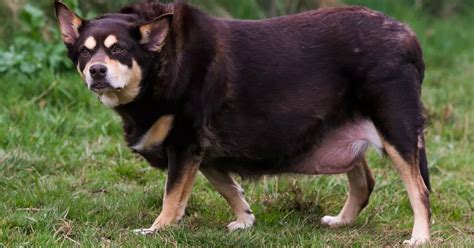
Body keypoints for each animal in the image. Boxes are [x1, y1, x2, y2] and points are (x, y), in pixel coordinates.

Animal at [54, 0, 430, 244]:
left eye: (118, 50)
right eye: (85, 52)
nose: (96, 70)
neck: (161, 63)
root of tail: (409, 36)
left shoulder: (185, 146)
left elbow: (172, 198)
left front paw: (157, 230)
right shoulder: (202, 152)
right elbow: (228, 187)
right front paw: (245, 220)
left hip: (395, 129)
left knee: (420, 190)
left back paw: (420, 237)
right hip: (346, 127)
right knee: (364, 182)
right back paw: (342, 221)